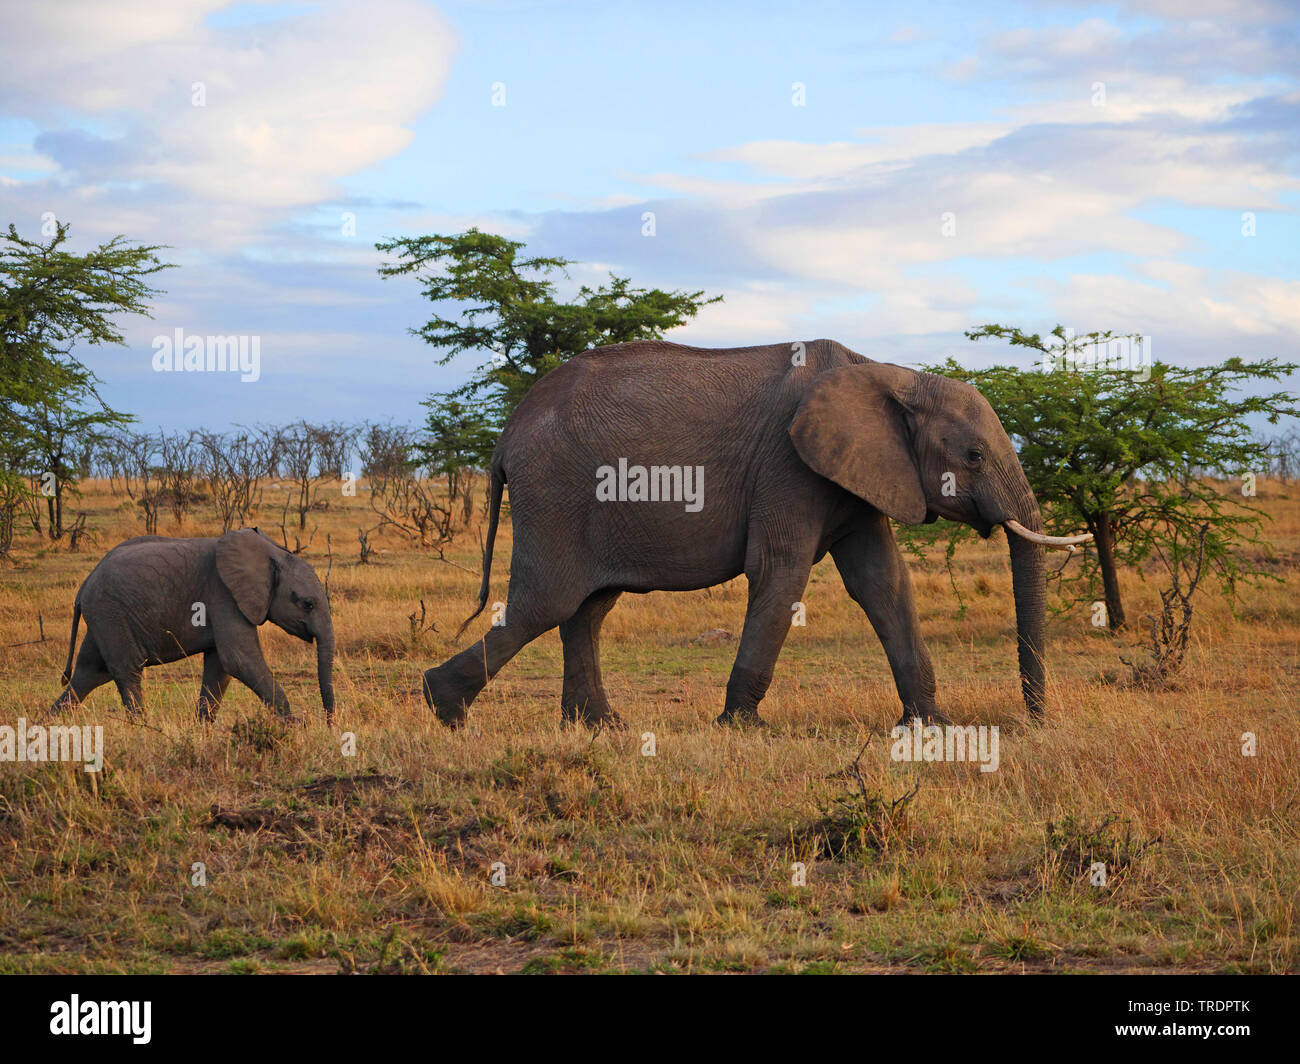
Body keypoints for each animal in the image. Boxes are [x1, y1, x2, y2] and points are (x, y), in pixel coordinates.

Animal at [50, 528, 335, 723]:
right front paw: (295, 725)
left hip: (103, 617)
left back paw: (48, 727)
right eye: (308, 604)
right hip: (111, 613)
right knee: (126, 672)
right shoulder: (223, 594)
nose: (329, 724)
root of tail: (84, 586)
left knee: (89, 673)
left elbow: (220, 668)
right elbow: (239, 660)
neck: (271, 553)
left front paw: (202, 730)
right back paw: (144, 730)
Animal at [423, 340, 1086, 728]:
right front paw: (742, 727)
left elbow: (883, 584)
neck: (888, 374)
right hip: (556, 493)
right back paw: (444, 708)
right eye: (973, 456)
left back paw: (597, 727)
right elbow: (781, 573)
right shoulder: (788, 467)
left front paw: (933, 728)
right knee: (548, 602)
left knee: (586, 609)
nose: (1034, 722)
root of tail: (507, 434)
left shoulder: (858, 473)